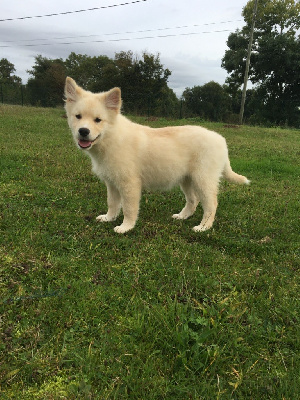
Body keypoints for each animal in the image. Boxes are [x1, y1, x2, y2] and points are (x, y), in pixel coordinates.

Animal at [64, 77, 250, 233]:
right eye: (78, 116)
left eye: (98, 120)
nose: (83, 131)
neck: (111, 137)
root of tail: (221, 140)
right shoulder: (112, 183)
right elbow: (113, 204)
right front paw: (108, 218)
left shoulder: (129, 184)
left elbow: (129, 208)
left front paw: (125, 227)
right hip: (187, 179)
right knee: (193, 200)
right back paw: (182, 216)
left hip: (203, 179)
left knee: (211, 205)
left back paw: (203, 227)